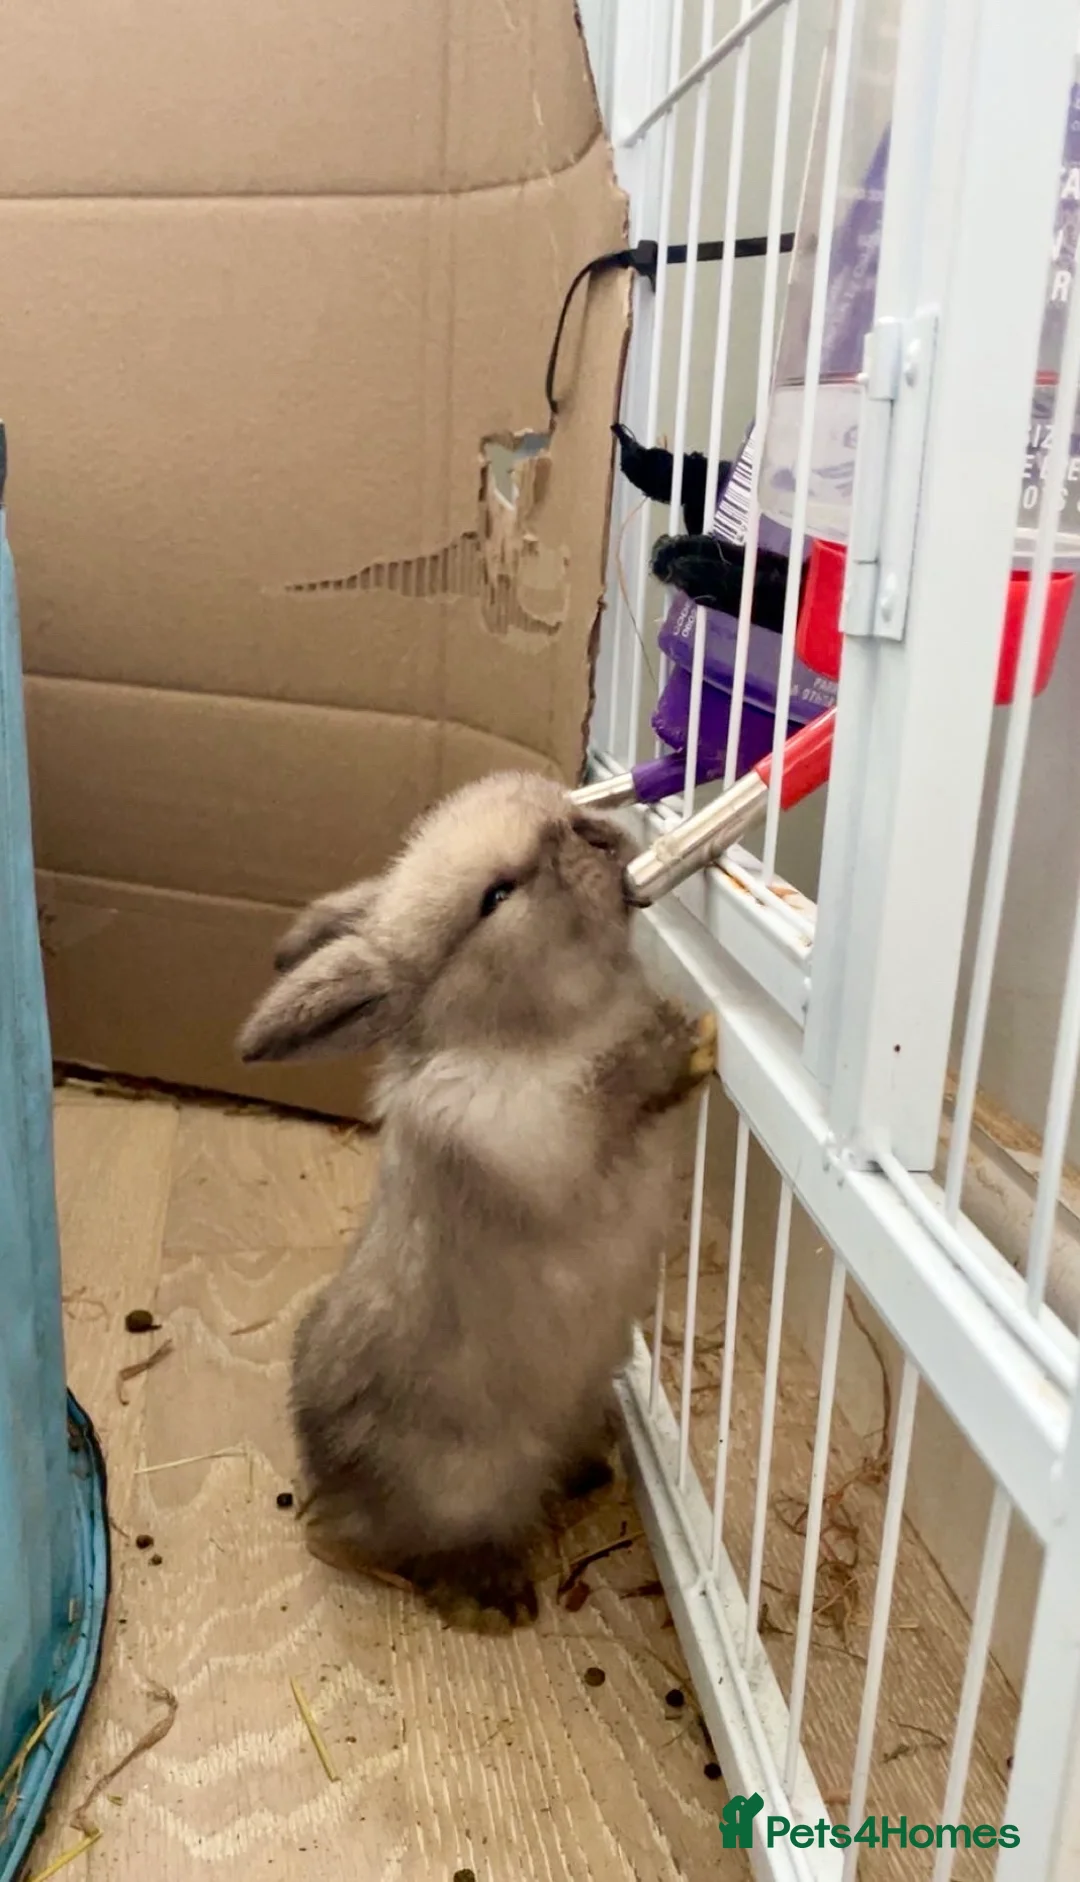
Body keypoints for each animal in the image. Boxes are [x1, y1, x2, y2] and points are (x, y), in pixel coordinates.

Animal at [237, 769, 716, 1630]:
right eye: (496, 896)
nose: (594, 836)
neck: (531, 1032)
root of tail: (335, 1488)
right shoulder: (536, 1141)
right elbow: (612, 1095)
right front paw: (686, 1041)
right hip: (465, 1489)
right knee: (385, 1549)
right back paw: (494, 1603)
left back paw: (591, 1472)